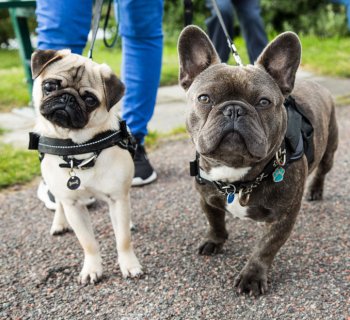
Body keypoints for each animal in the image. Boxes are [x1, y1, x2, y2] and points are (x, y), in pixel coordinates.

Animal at [30, 50, 142, 284]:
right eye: (49, 86)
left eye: (90, 100)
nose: (67, 97)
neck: (78, 149)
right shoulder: (73, 205)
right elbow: (88, 243)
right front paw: (92, 268)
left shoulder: (117, 198)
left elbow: (123, 240)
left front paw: (129, 265)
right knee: (59, 203)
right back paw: (59, 223)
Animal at [179, 26, 338, 296]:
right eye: (204, 98)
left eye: (263, 102)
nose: (234, 109)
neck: (236, 178)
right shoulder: (206, 198)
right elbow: (215, 221)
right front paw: (214, 241)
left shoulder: (283, 217)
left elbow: (265, 248)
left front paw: (252, 276)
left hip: (329, 150)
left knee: (323, 171)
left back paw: (316, 190)